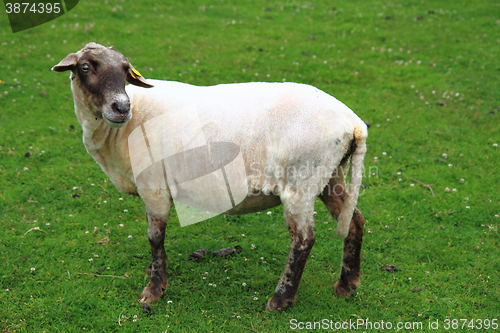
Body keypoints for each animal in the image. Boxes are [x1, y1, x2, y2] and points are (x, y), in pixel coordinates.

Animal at [53, 42, 368, 312]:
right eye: (85, 67)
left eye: (124, 69)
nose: (121, 107)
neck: (117, 132)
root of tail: (353, 122)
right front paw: (154, 273)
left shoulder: (154, 187)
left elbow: (155, 236)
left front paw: (154, 289)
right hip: (330, 176)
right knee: (354, 220)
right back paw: (347, 285)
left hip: (300, 184)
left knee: (303, 240)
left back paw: (281, 299)